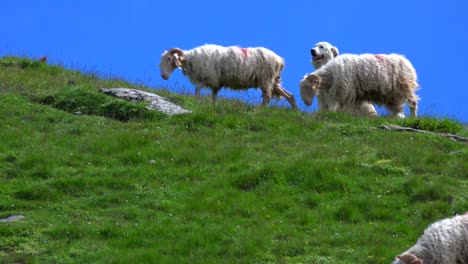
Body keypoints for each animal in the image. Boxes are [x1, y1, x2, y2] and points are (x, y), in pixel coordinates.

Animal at [157, 44, 296, 109]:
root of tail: (280, 60)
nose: (164, 76)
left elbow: (197, 89)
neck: (192, 59)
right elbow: (213, 96)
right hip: (272, 81)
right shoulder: (216, 83)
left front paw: (197, 102)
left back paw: (259, 110)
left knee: (267, 97)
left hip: (265, 79)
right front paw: (213, 107)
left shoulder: (209, 78)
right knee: (289, 95)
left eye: (169, 59)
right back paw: (296, 112)